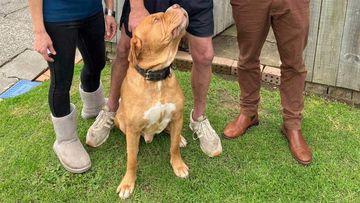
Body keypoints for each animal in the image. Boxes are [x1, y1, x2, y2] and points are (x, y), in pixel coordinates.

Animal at [114, 5, 188, 200]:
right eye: (156, 19)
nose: (177, 5)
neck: (156, 77)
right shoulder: (132, 128)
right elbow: (132, 160)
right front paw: (128, 183)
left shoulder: (177, 116)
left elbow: (174, 147)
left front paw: (178, 165)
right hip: (119, 120)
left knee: (172, 133)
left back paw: (181, 138)